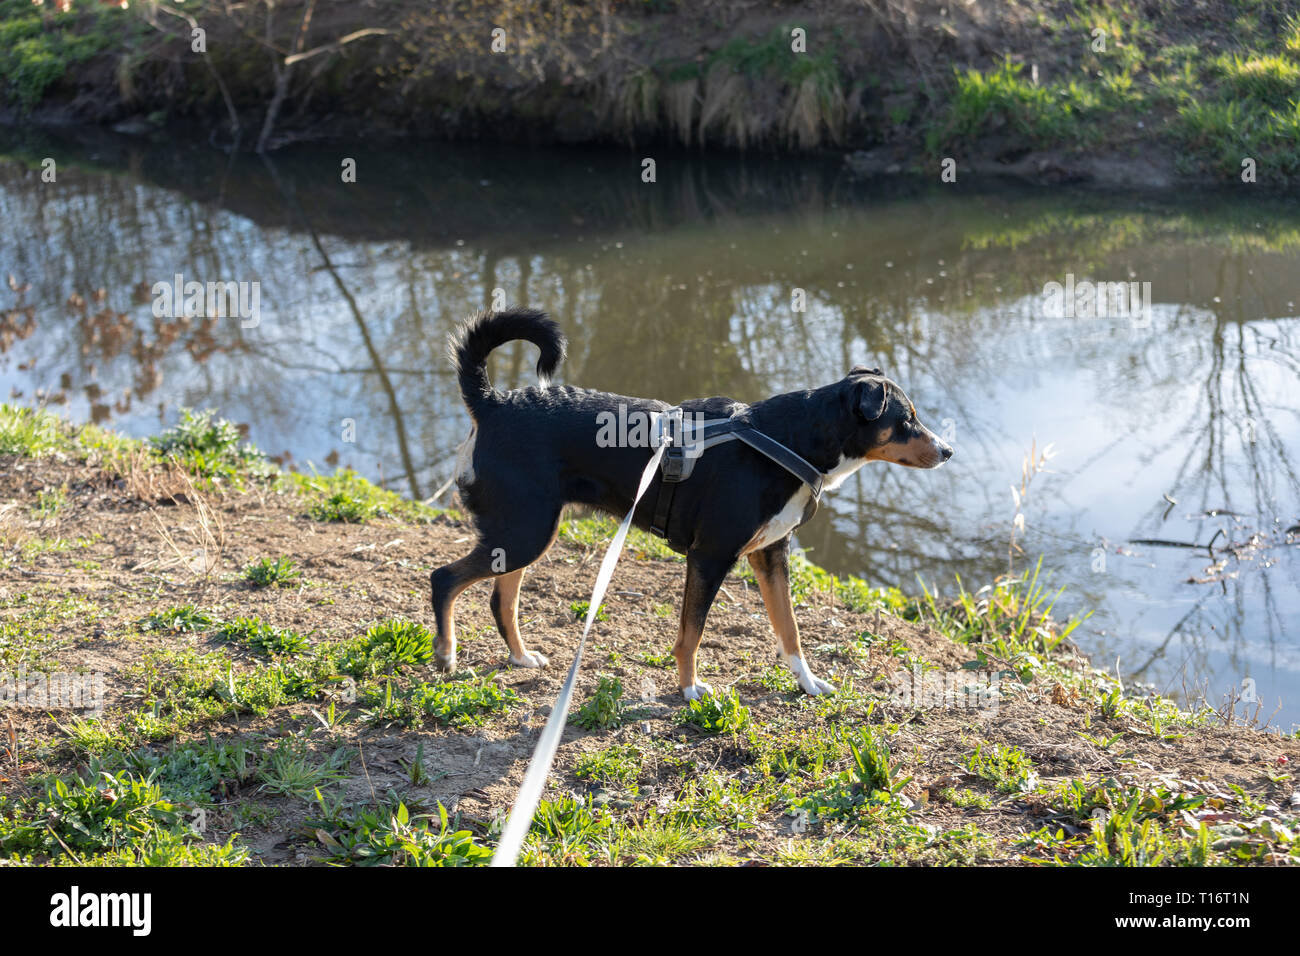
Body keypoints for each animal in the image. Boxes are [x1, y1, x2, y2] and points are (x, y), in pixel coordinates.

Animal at [431, 310, 951, 697]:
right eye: (908, 419)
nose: (948, 451)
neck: (789, 440)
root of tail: (493, 403)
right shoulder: (710, 556)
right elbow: (691, 633)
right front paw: (688, 689)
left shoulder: (771, 556)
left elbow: (790, 631)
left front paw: (807, 683)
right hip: (525, 532)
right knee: (444, 579)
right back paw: (447, 655)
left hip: (524, 533)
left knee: (502, 600)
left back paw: (520, 657)